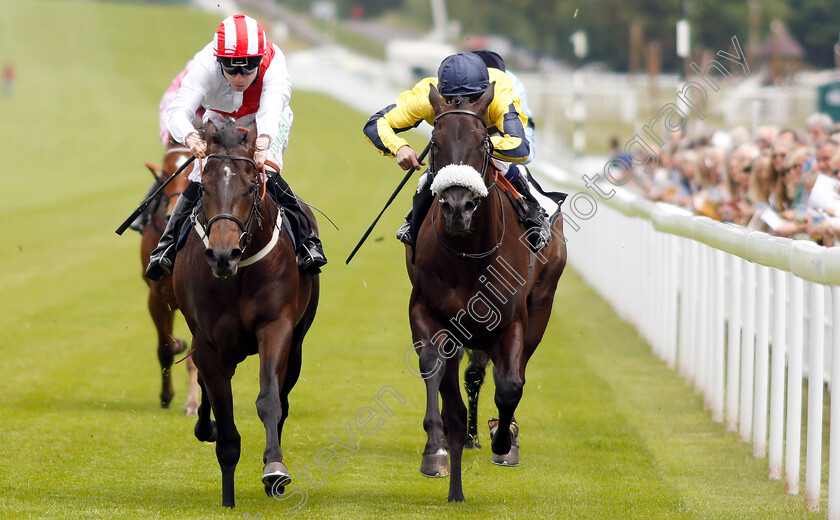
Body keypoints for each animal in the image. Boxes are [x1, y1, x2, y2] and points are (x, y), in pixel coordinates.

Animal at [172, 120, 320, 506]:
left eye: (252, 185)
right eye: (204, 188)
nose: (224, 254)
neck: (236, 277)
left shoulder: (277, 326)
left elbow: (270, 400)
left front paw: (274, 470)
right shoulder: (208, 342)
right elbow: (224, 420)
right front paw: (228, 494)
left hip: (296, 346)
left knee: (283, 395)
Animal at [406, 85, 568, 504]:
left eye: (483, 141)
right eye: (434, 141)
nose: (457, 207)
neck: (467, 254)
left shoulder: (511, 321)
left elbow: (511, 384)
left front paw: (502, 440)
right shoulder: (426, 309)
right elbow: (433, 366)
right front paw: (436, 450)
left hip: (541, 305)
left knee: (511, 369)